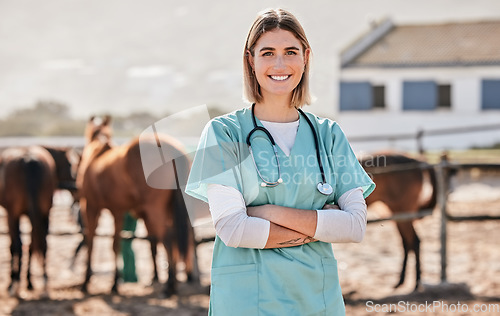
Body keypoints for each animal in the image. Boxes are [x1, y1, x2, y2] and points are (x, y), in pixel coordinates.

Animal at [0, 146, 56, 296]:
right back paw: (43, 283)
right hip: (44, 212)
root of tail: (29, 159)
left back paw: (15, 285)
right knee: (42, 243)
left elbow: (13, 246)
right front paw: (29, 283)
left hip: (14, 214)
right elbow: (32, 245)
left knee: (19, 245)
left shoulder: (11, 215)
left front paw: (13, 281)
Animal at [76, 115, 197, 296]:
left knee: (168, 239)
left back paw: (170, 286)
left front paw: (87, 281)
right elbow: (121, 244)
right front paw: (116, 283)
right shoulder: (119, 211)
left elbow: (91, 241)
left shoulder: (90, 207)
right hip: (169, 210)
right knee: (176, 238)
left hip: (155, 211)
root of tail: (175, 150)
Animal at [360, 153, 438, 292]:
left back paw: (416, 282)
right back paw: (401, 281)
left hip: (404, 216)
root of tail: (418, 162)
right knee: (407, 243)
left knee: (415, 241)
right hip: (399, 216)